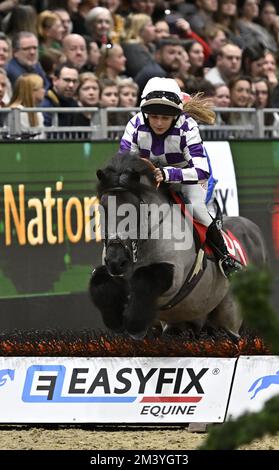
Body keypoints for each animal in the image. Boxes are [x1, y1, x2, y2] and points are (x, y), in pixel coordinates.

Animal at [89, 152, 270, 340]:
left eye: (136, 209)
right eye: (102, 208)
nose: (117, 261)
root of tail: (253, 230)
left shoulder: (175, 274)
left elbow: (145, 279)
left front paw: (134, 323)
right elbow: (98, 281)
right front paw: (115, 320)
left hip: (229, 317)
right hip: (182, 325)